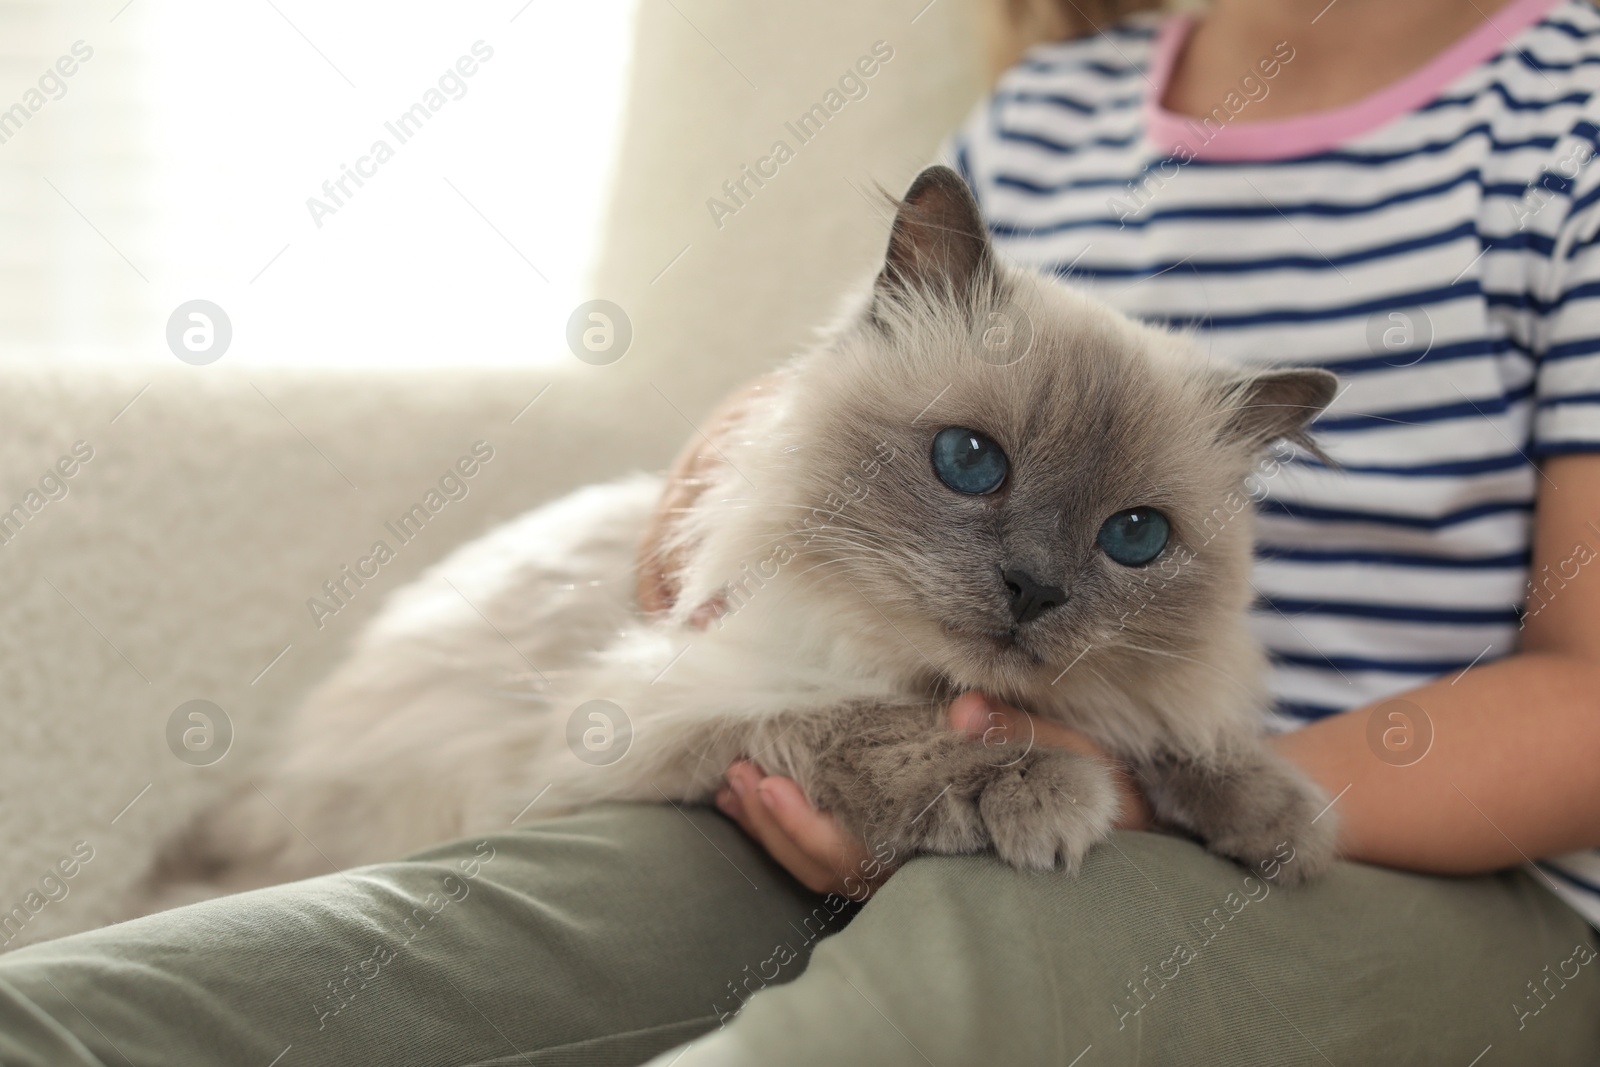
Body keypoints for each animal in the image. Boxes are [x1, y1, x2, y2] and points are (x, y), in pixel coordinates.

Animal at [144, 168, 1344, 908]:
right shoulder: (680, 705)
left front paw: (1286, 825)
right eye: (969, 461)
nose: (1033, 588)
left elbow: (1191, 738)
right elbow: (866, 725)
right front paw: (1047, 791)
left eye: (1133, 537)